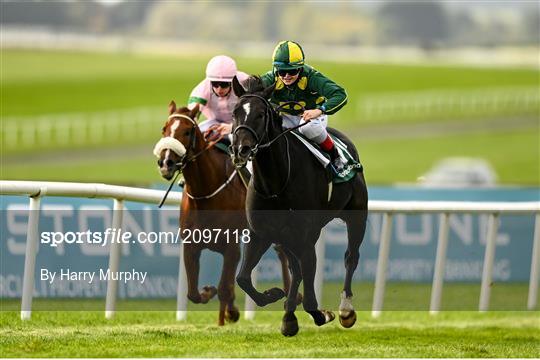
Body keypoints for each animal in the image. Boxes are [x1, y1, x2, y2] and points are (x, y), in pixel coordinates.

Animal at [152, 101, 296, 326]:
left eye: (187, 131)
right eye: (164, 129)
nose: (166, 163)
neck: (205, 193)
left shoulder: (231, 246)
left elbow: (225, 288)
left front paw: (229, 314)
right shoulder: (191, 244)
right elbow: (193, 293)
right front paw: (209, 293)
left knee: (283, 253)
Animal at [230, 76, 370, 338]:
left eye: (261, 114)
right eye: (235, 112)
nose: (241, 149)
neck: (276, 183)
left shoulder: (304, 234)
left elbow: (308, 271)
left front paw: (318, 313)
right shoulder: (261, 233)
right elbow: (243, 278)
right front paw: (275, 297)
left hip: (356, 215)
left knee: (350, 256)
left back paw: (346, 309)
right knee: (296, 268)